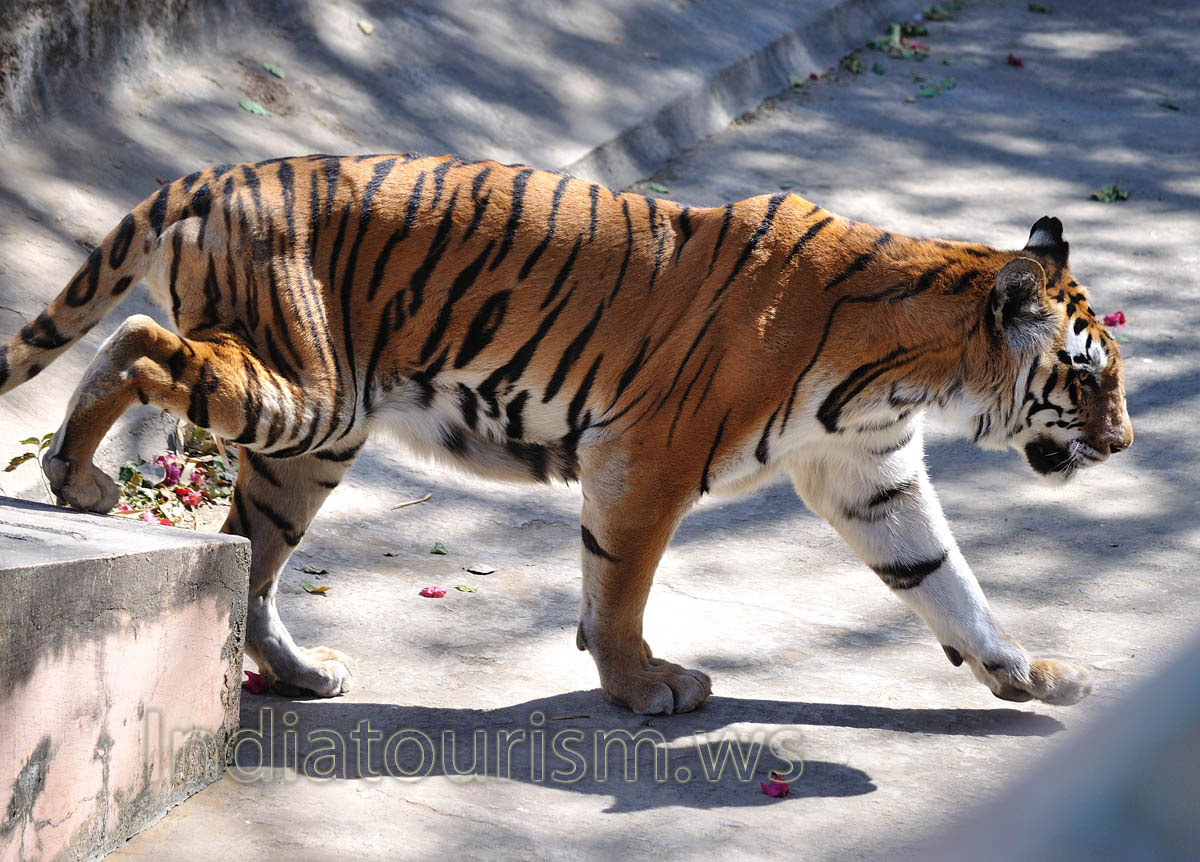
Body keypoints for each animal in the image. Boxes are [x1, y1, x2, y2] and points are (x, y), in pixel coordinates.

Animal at [0, 153, 1132, 714]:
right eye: (1085, 376)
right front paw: (643, 687)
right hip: (308, 391)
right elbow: (620, 586)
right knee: (140, 341)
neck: (911, 371)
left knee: (253, 555)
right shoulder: (648, 458)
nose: (1122, 444)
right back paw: (77, 478)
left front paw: (1033, 676)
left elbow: (950, 584)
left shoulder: (871, 477)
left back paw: (303, 673)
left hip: (317, 437)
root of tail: (209, 176)